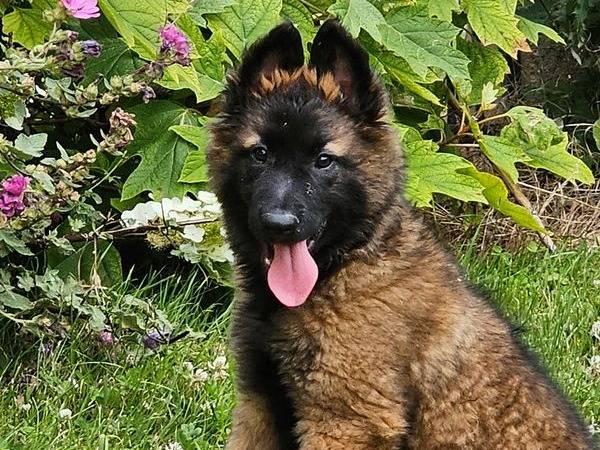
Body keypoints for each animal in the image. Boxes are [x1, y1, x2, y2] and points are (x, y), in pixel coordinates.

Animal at [207, 20, 596, 450]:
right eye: (260, 154)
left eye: (324, 161)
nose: (279, 223)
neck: (346, 267)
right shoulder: (258, 403)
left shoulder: (347, 419)